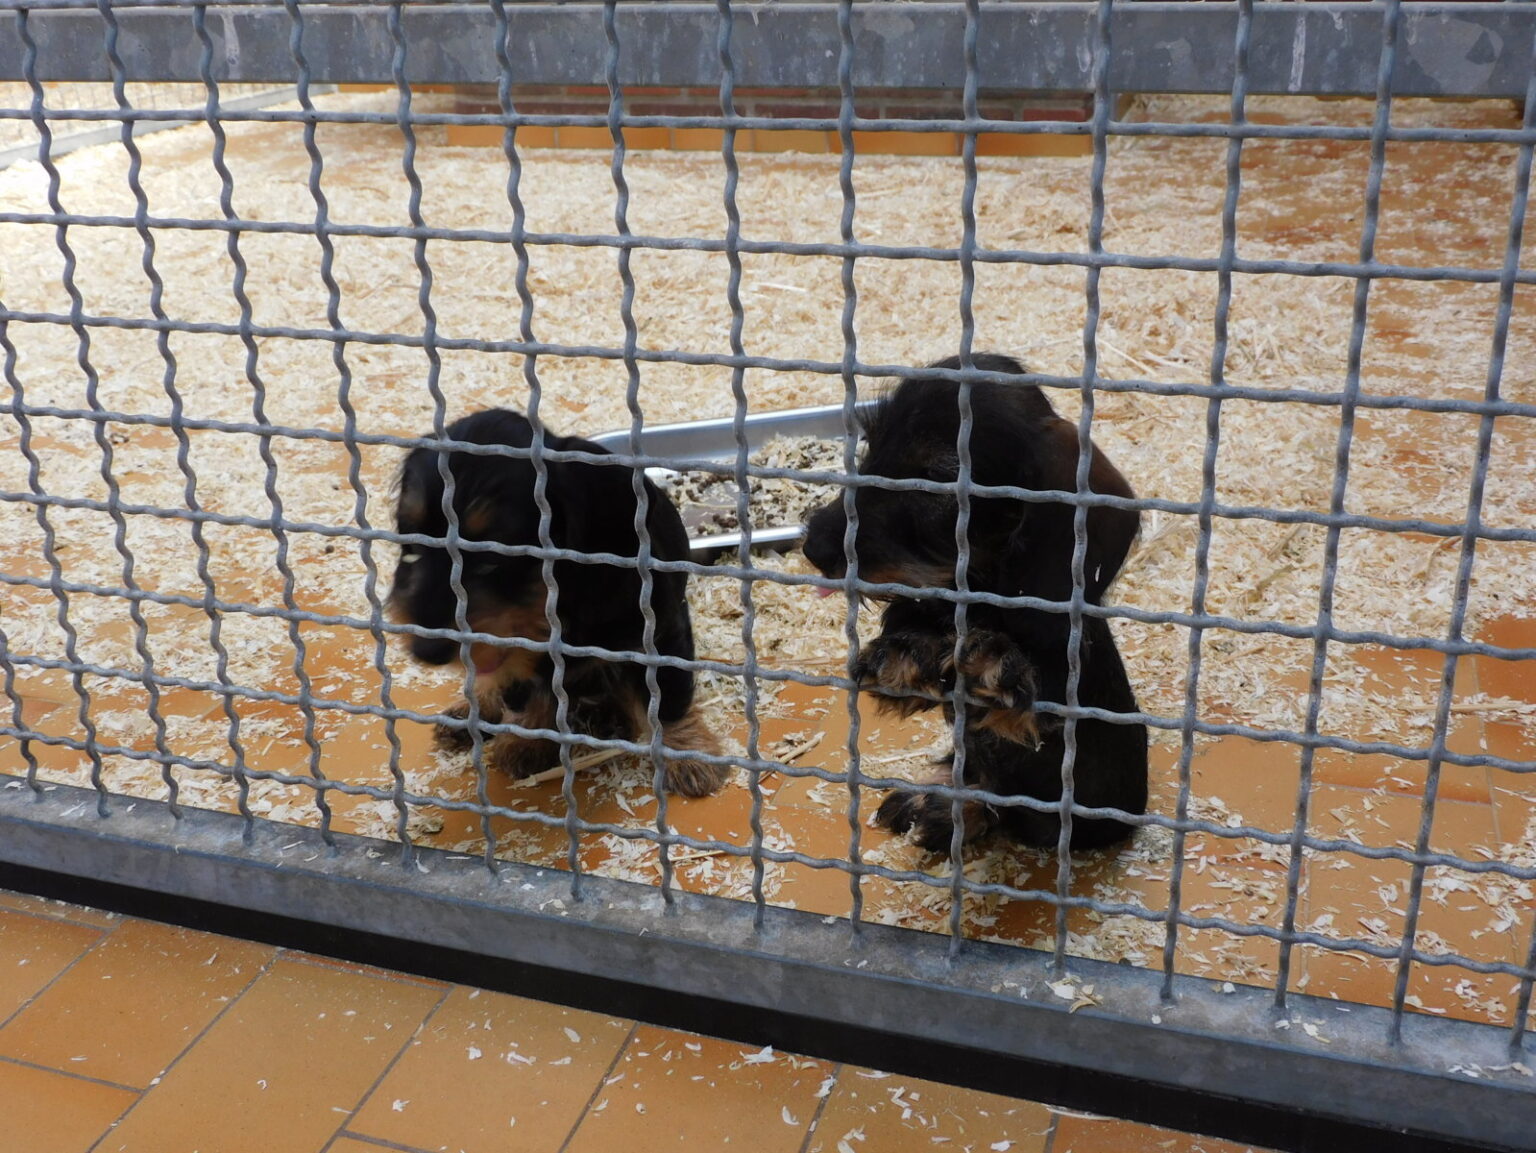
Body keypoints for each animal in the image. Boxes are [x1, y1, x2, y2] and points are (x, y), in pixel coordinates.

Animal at [384, 411, 718, 798]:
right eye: (412, 549)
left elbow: (667, 699)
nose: (426, 651)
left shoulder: (660, 634)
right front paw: (527, 739)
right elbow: (525, 688)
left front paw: (687, 755)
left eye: (492, 558)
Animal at [804, 356, 1142, 853]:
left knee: (995, 805)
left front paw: (992, 662)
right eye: (871, 443)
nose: (813, 546)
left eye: (936, 477)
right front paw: (905, 648)